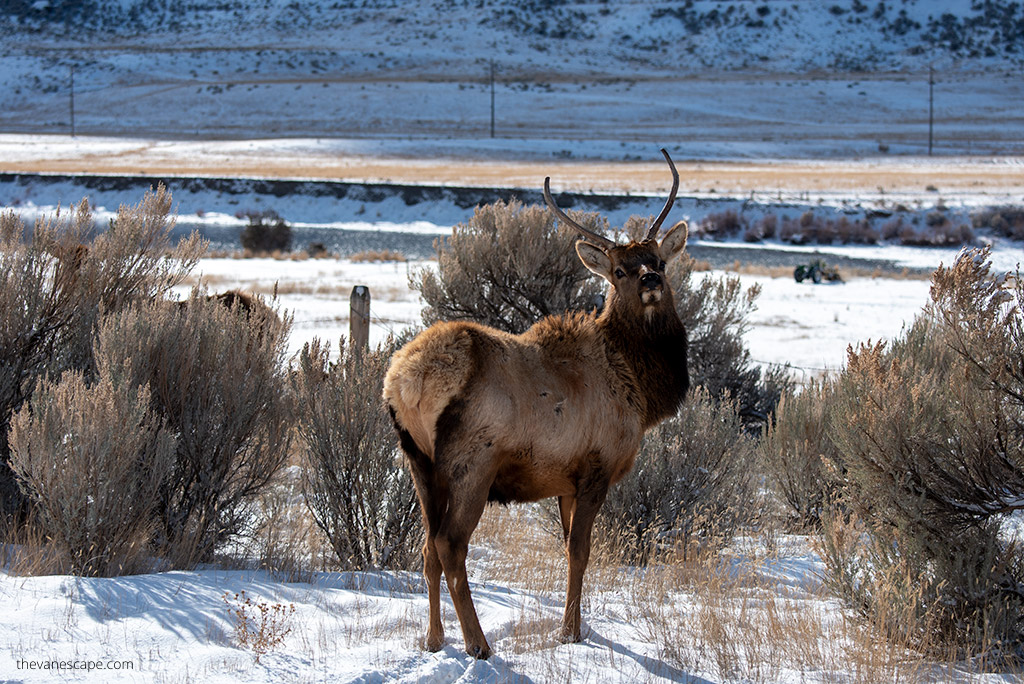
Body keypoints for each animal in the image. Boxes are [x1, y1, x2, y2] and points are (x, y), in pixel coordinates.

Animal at [382, 148, 688, 655]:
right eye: (619, 271)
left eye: (659, 260)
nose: (649, 280)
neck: (641, 389)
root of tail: (406, 383)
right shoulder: (596, 466)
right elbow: (580, 551)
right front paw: (570, 632)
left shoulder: (565, 479)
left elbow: (567, 548)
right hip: (472, 461)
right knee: (450, 545)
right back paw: (478, 644)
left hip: (417, 461)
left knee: (426, 548)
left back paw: (433, 639)